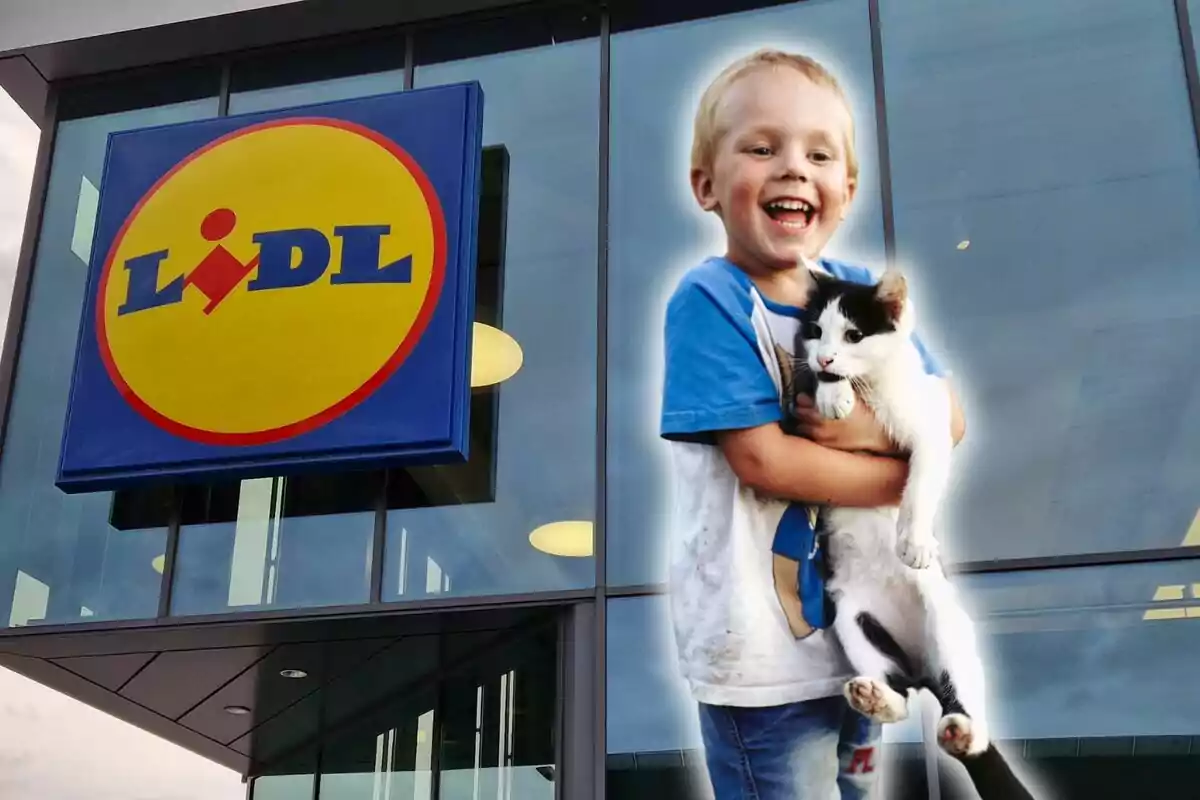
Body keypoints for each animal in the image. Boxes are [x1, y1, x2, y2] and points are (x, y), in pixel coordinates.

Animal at [792, 268, 1036, 800]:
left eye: (854, 335)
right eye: (817, 331)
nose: (826, 356)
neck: (875, 386)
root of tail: (922, 669)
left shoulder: (931, 424)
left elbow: (921, 481)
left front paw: (915, 541)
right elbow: (807, 384)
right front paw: (832, 390)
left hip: (947, 624)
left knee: (967, 710)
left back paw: (963, 731)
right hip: (853, 621)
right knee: (899, 696)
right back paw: (873, 694)